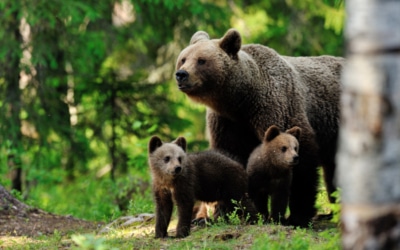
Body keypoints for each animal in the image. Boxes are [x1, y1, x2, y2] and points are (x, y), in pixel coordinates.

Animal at [174, 28, 344, 226]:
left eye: (201, 60)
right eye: (184, 58)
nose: (181, 74)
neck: (240, 101)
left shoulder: (276, 107)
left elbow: (301, 163)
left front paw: (297, 216)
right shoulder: (227, 123)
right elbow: (229, 159)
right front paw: (223, 213)